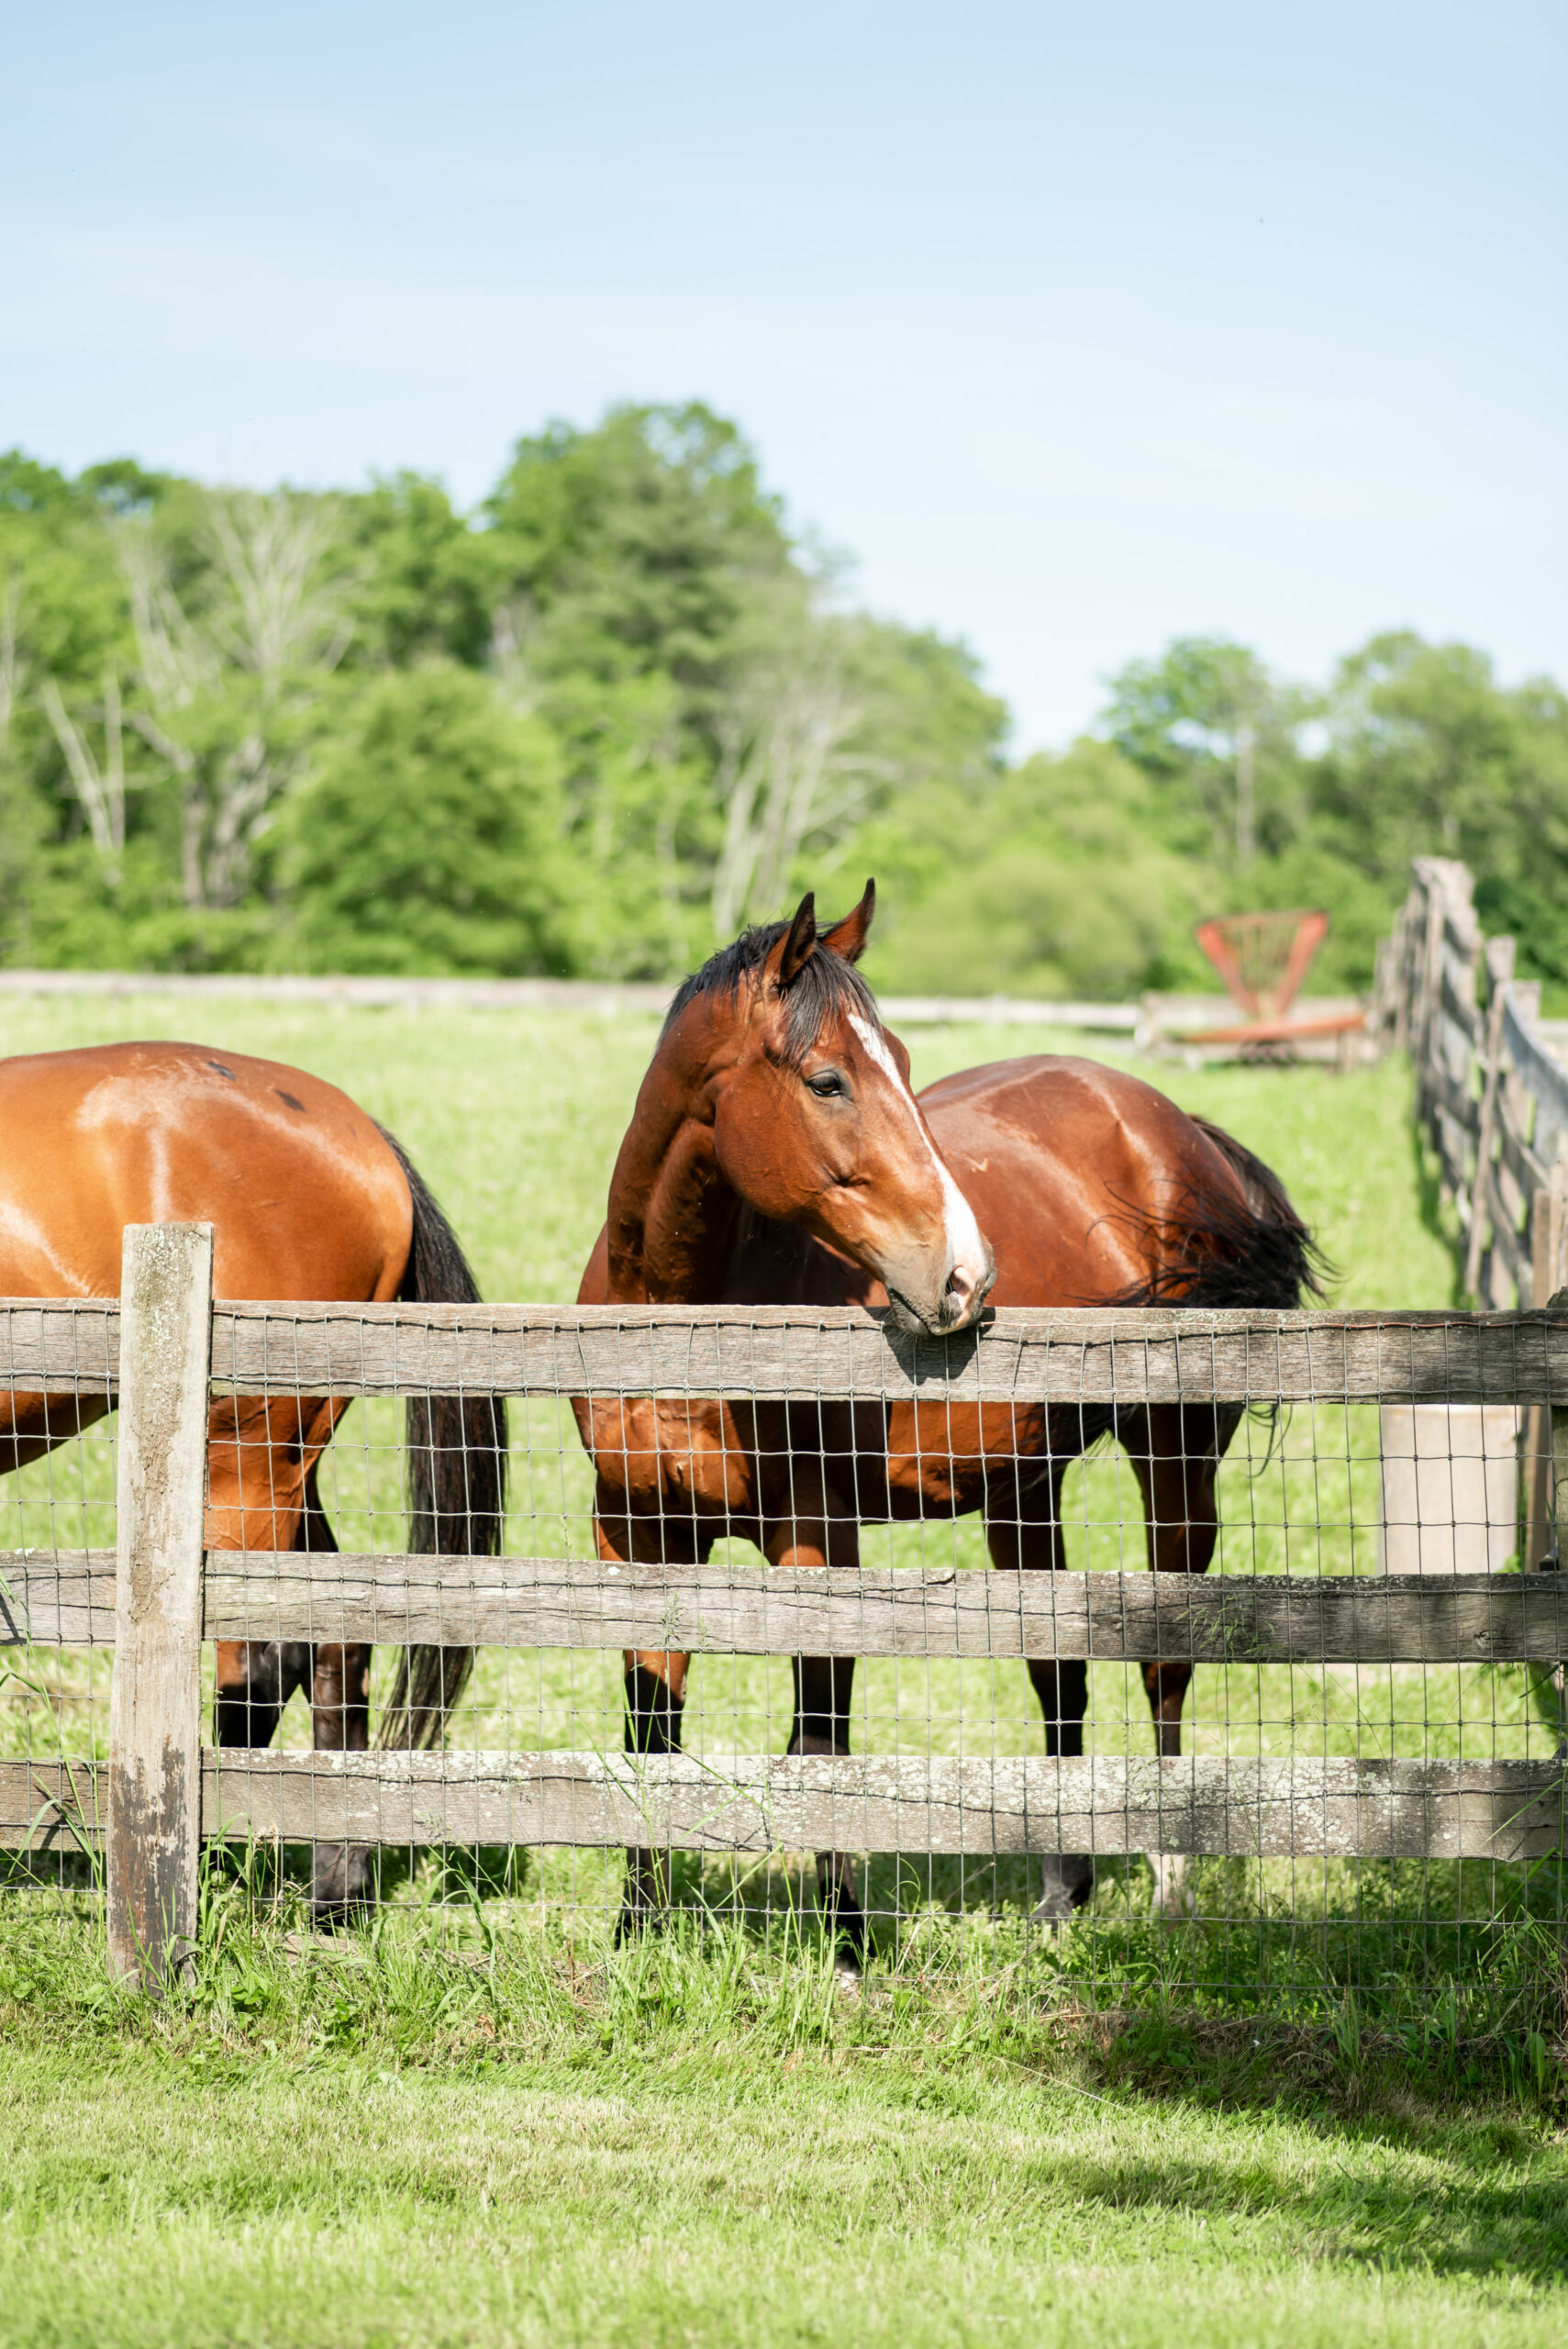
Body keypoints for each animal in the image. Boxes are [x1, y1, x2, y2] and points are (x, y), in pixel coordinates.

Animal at [0, 1042, 502, 1907]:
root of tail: (360, 1135)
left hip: (244, 1466)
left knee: (260, 1664)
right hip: (291, 1465)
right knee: (332, 1641)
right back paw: (339, 1880)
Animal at [573, 883, 1314, 1944]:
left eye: (905, 1065)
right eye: (827, 1080)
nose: (964, 1276)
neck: (679, 1323)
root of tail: (1182, 1131)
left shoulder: (814, 1535)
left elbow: (824, 1728)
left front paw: (845, 1945)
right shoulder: (636, 1532)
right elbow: (653, 1730)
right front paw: (637, 1931)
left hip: (1174, 1464)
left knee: (1162, 1665)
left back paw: (1169, 1883)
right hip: (1022, 1488)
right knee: (1058, 1674)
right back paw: (1060, 1892)